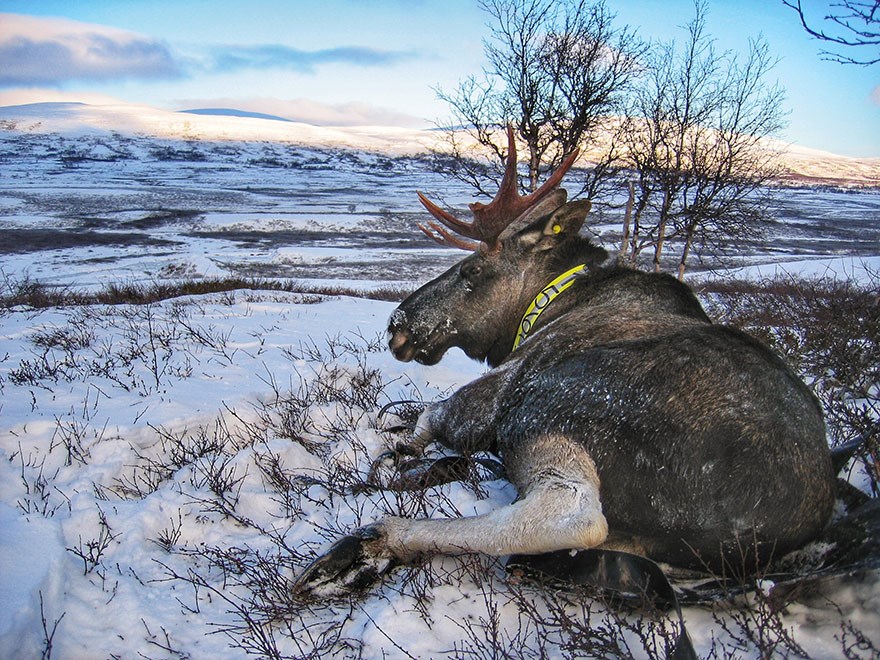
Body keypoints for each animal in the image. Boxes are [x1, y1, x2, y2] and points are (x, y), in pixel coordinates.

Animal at [292, 126, 836, 596]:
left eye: (472, 269)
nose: (397, 325)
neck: (547, 304)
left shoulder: (497, 391)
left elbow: (429, 414)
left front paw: (396, 448)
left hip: (544, 409)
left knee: (572, 515)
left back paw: (367, 545)